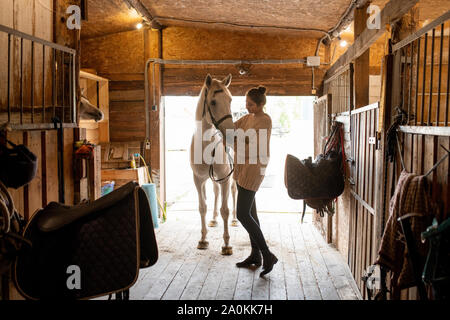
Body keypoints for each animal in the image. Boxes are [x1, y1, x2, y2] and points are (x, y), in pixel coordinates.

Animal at [190, 74, 237, 256]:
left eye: (230, 100)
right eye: (213, 102)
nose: (232, 135)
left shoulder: (225, 178)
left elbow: (225, 209)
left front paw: (226, 244)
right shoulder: (198, 179)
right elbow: (202, 206)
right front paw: (203, 239)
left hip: (232, 177)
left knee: (233, 192)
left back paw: (235, 220)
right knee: (216, 193)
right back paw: (214, 219)